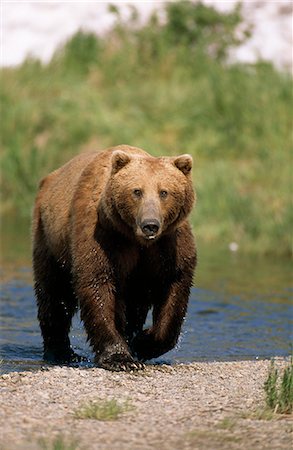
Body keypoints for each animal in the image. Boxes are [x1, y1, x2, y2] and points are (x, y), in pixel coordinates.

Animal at [32, 146, 196, 370]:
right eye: (137, 191)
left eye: (164, 192)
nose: (150, 225)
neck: (136, 239)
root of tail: (50, 177)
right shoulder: (104, 236)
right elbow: (97, 284)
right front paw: (120, 358)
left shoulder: (168, 246)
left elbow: (175, 287)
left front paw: (142, 342)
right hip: (49, 237)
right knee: (54, 294)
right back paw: (61, 352)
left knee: (135, 304)